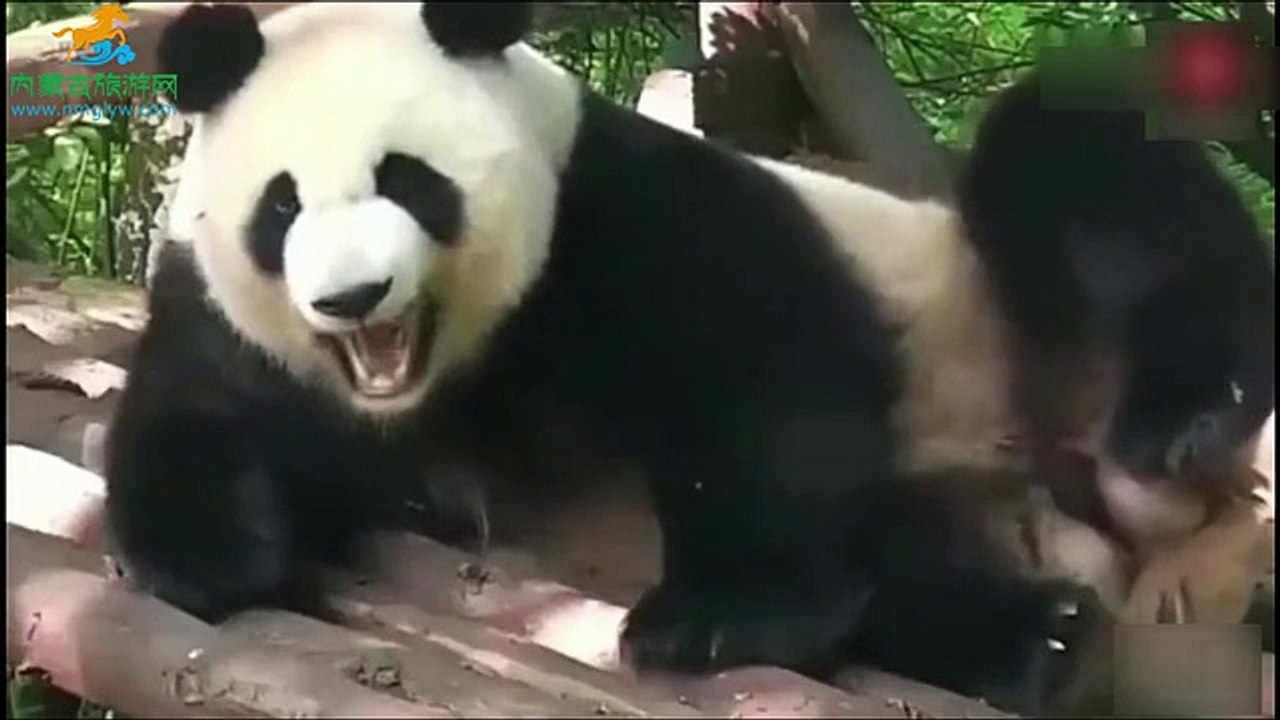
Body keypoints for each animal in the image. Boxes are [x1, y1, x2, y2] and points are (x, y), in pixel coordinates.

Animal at [103, 2, 1274, 713]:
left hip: (991, 305)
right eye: (282, 205)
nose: (353, 297)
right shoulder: (233, 322)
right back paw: (1041, 640)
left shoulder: (623, 203)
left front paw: (717, 616)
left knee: (1070, 156)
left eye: (408, 179)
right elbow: (195, 418)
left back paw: (1180, 420)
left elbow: (761, 373)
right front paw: (214, 556)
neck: (446, 374)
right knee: (905, 570)